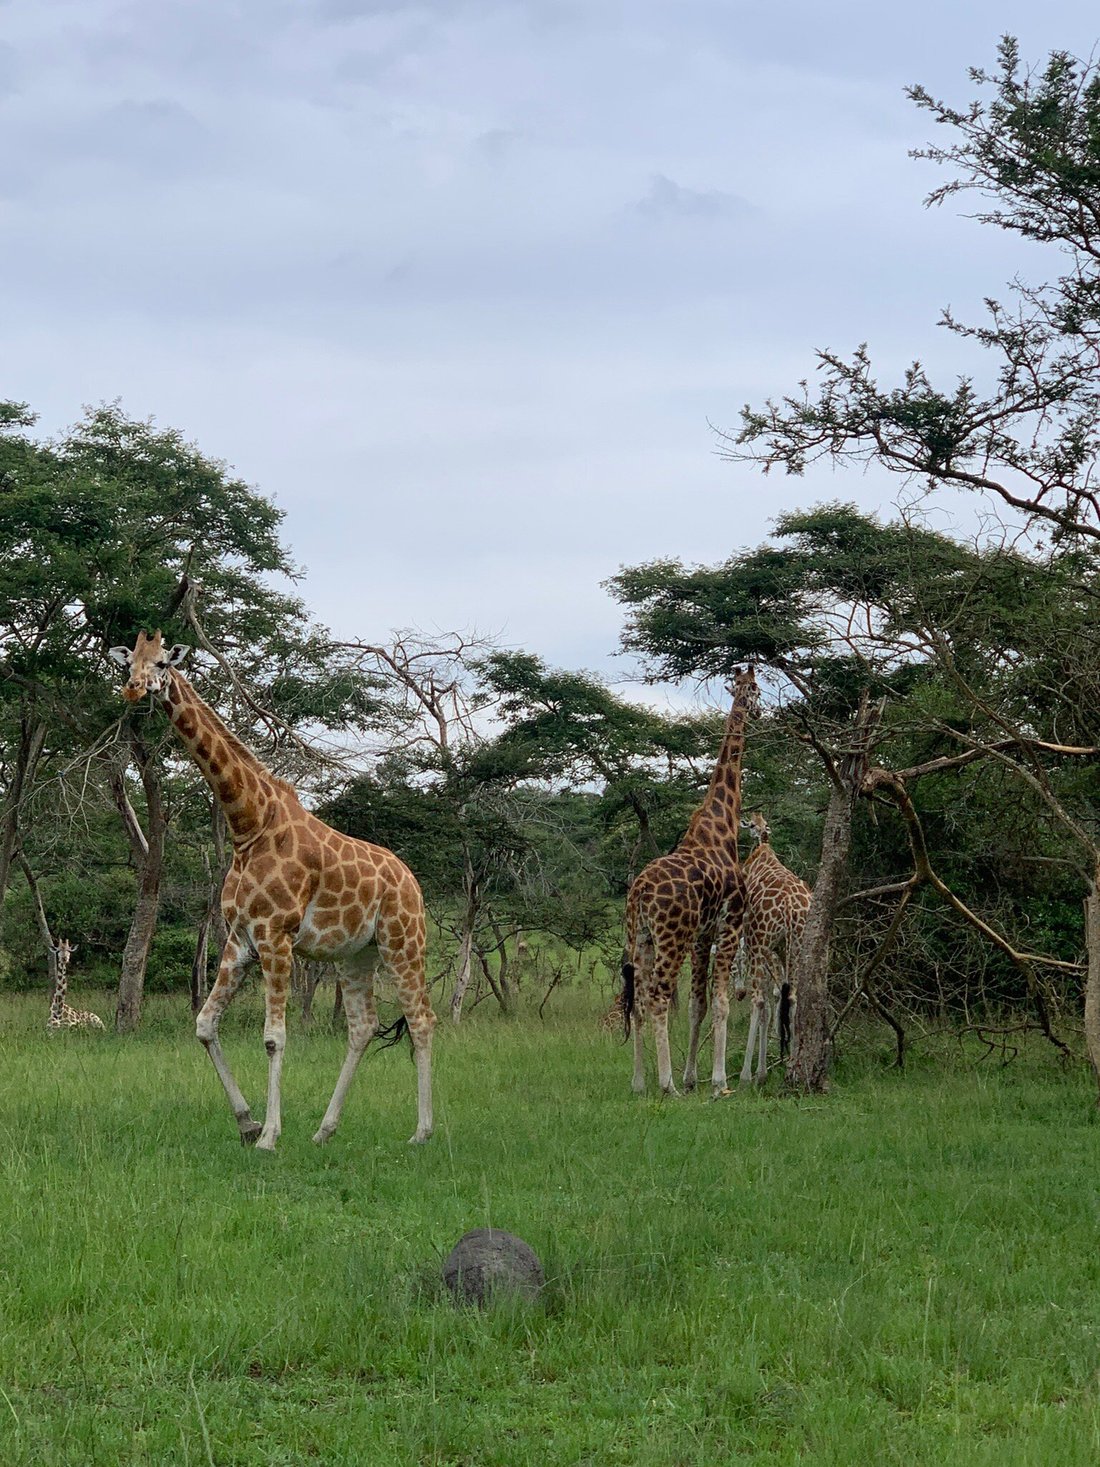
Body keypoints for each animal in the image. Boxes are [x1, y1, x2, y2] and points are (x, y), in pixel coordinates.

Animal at [110, 624, 437, 1150]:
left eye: (162, 663)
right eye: (128, 662)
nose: (135, 689)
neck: (249, 826)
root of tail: (413, 881)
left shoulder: (275, 936)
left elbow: (273, 1037)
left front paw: (269, 1136)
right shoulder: (239, 940)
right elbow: (204, 1025)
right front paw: (248, 1123)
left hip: (403, 940)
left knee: (422, 1018)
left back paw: (421, 1132)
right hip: (356, 953)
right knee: (362, 1027)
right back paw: (325, 1130)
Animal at [624, 671, 762, 1097]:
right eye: (758, 691)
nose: (761, 712)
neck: (722, 827)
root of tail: (639, 892)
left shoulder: (704, 935)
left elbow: (698, 1004)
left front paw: (691, 1077)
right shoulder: (730, 923)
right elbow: (721, 1002)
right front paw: (718, 1080)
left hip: (640, 936)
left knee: (638, 1000)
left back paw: (640, 1081)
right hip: (672, 937)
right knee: (658, 998)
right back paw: (664, 1084)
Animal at [736, 809, 815, 1085]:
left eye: (749, 825)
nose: (760, 831)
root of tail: (790, 907)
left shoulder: (753, 942)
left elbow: (765, 1001)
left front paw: (758, 1071)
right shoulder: (778, 948)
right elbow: (779, 996)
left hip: (760, 943)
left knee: (759, 1001)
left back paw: (747, 1075)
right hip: (797, 944)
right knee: (793, 997)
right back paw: (791, 1063)